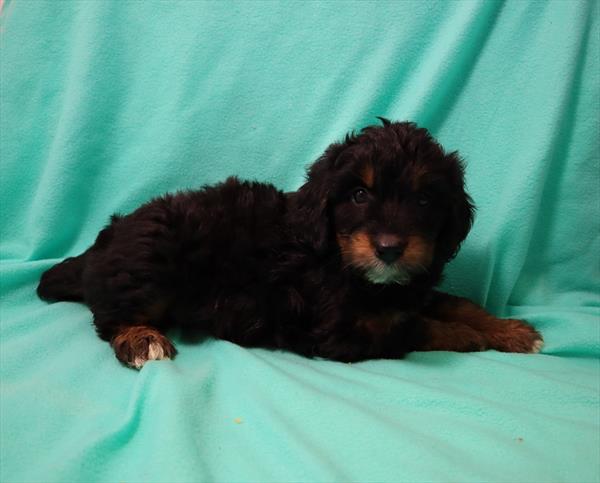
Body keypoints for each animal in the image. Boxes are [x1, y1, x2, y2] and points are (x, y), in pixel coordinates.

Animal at [37, 119, 544, 368]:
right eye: (358, 195)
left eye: (424, 199)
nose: (389, 248)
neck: (336, 256)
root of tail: (104, 243)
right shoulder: (339, 330)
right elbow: (420, 328)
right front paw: (474, 337)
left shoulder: (407, 286)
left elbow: (454, 303)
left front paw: (511, 331)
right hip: (152, 257)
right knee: (110, 316)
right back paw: (141, 340)